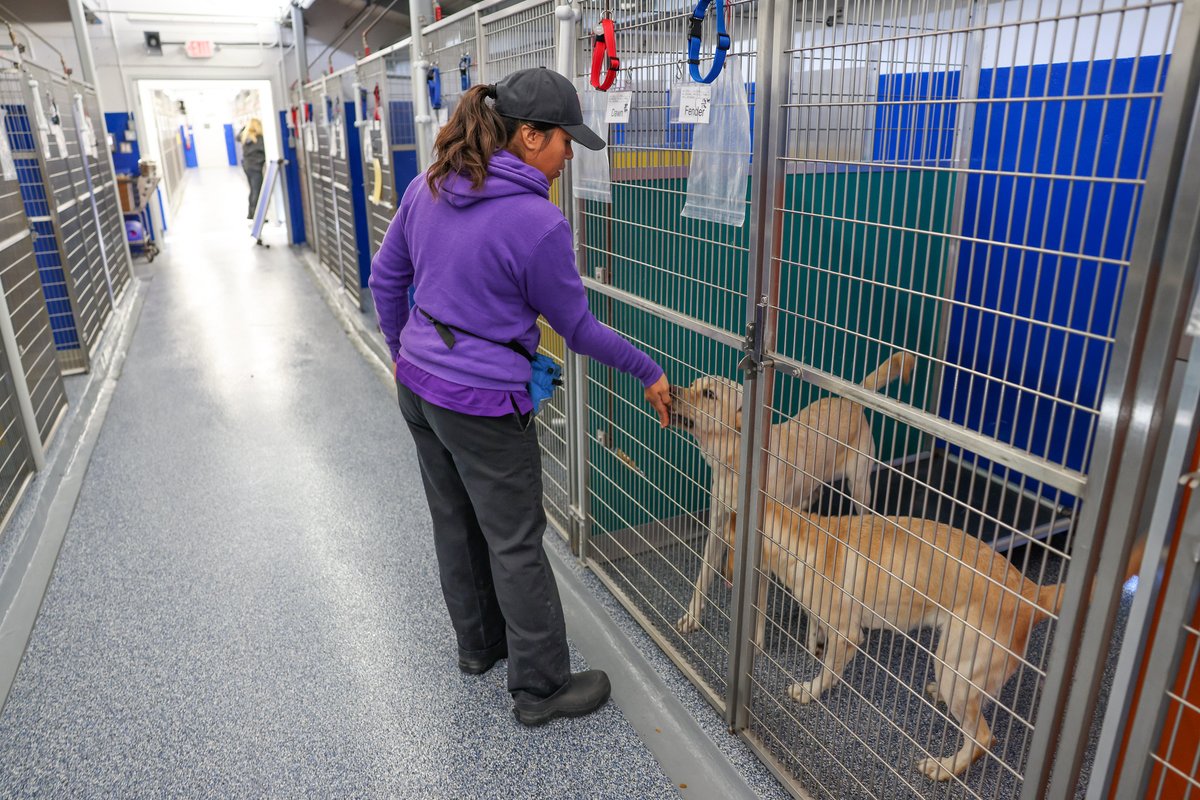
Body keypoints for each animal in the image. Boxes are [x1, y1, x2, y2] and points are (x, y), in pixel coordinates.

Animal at [672, 352, 912, 633]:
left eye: (709, 394)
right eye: (692, 384)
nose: (673, 390)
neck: (737, 464)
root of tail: (848, 401)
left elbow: (757, 605)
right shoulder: (717, 530)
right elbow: (702, 577)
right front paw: (692, 617)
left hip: (860, 486)